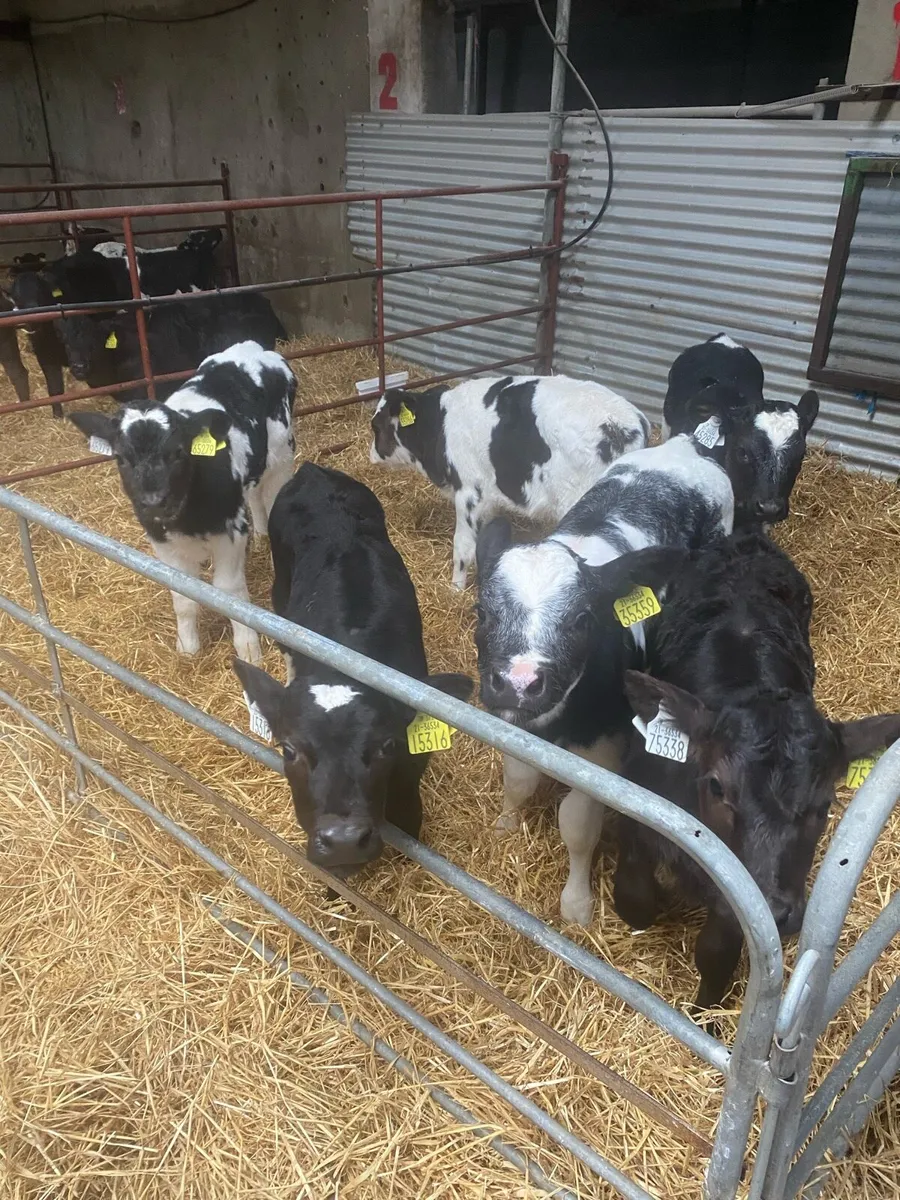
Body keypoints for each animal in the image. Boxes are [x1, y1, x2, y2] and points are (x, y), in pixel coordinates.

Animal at [68, 341, 296, 662]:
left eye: (178, 452)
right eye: (121, 457)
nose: (153, 501)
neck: (188, 517)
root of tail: (251, 346)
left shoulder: (231, 529)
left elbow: (228, 591)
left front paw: (247, 647)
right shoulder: (160, 539)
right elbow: (183, 595)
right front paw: (188, 647)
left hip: (281, 452)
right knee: (254, 492)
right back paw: (262, 533)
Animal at [233, 463, 473, 874]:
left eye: (388, 745)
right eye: (289, 750)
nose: (344, 840)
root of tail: (313, 470)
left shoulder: (410, 774)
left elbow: (410, 821)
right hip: (280, 594)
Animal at [369, 374, 650, 588]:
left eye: (376, 426)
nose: (371, 454)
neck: (440, 426)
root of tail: (625, 424)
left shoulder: (468, 491)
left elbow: (462, 546)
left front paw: (455, 589)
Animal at [474, 433, 734, 926]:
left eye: (582, 619)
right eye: (484, 611)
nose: (519, 682)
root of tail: (685, 444)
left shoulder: (603, 755)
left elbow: (576, 824)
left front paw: (576, 904)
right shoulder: (508, 722)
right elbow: (518, 780)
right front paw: (504, 823)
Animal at [612, 531, 900, 1007]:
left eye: (823, 806)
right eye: (717, 787)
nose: (774, 908)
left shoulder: (739, 906)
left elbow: (716, 952)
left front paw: (704, 1010)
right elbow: (635, 900)